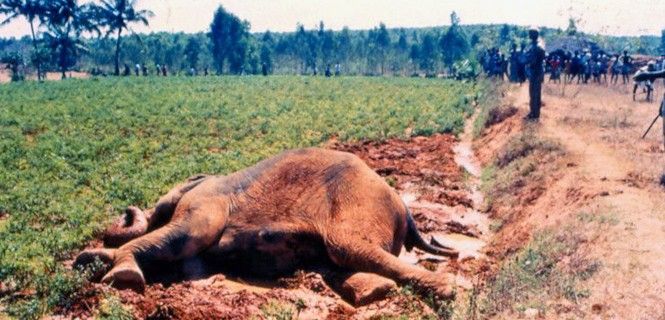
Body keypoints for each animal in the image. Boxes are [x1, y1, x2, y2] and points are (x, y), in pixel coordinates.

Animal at [72, 148, 456, 304]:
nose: (125, 211)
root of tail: (405, 207)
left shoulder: (208, 200)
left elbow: (190, 233)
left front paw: (112, 270)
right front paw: (93, 261)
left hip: (359, 202)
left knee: (347, 247)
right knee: (344, 256)